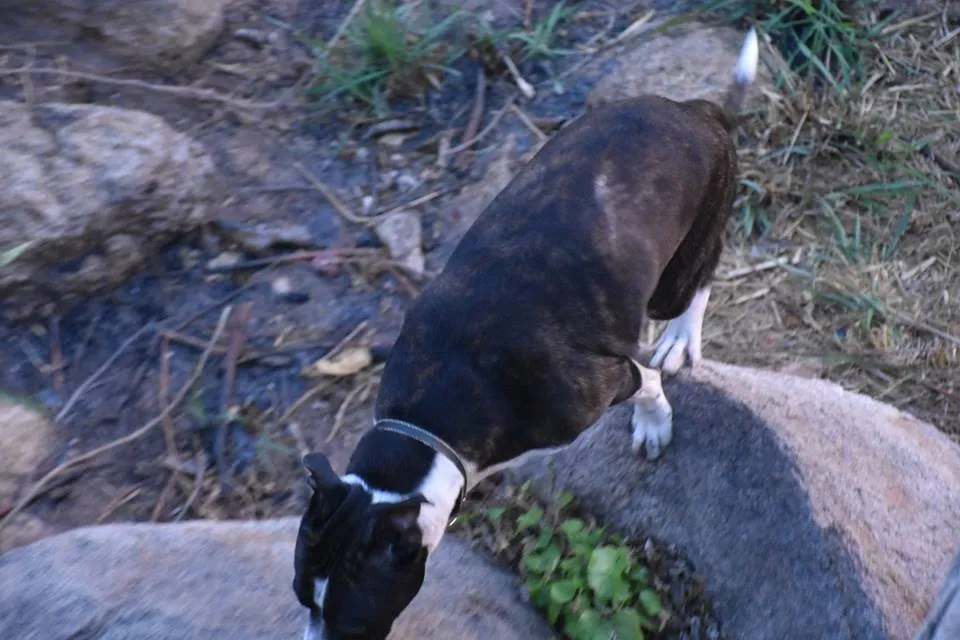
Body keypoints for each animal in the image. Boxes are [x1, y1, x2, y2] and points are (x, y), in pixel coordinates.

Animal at [293, 28, 760, 640]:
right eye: (302, 598)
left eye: (352, 625)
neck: (429, 424)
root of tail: (697, 110)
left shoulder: (607, 378)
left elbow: (649, 382)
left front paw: (654, 424)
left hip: (683, 260)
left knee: (699, 277)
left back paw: (681, 336)